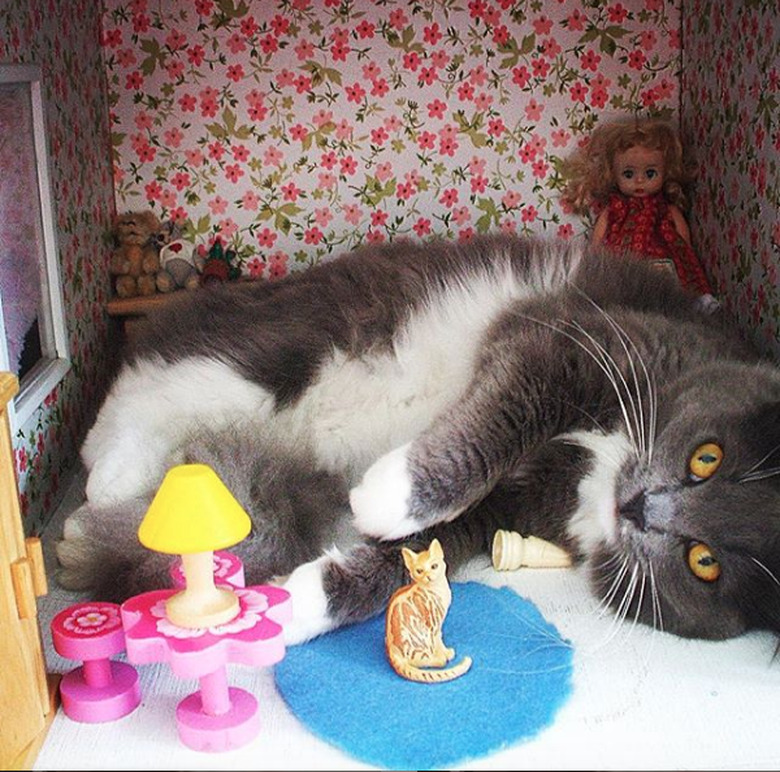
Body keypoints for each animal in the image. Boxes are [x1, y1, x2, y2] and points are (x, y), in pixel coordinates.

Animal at [58, 234, 780, 644]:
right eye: (708, 457)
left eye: (705, 563)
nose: (641, 508)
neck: (592, 468)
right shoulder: (566, 341)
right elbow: (492, 428)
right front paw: (386, 494)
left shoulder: (506, 510)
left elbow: (417, 554)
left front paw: (293, 606)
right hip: (293, 348)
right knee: (149, 384)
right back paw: (103, 490)